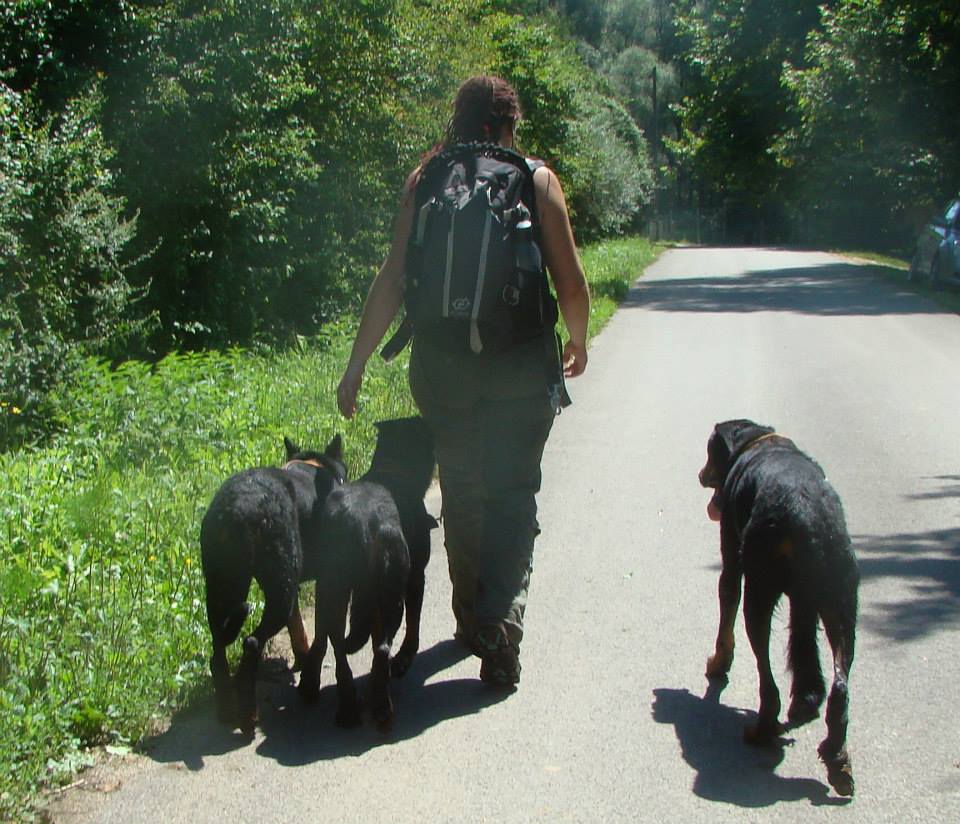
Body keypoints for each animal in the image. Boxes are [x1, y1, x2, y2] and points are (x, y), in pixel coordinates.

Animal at [696, 422, 864, 796]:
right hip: (842, 601)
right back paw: (838, 758)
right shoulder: (805, 602)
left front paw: (718, 663)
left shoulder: (731, 558)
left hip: (759, 590)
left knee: (767, 680)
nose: (700, 474)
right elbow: (803, 645)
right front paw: (806, 697)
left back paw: (762, 731)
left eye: (710, 452)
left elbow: (726, 613)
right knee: (841, 685)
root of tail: (807, 517)